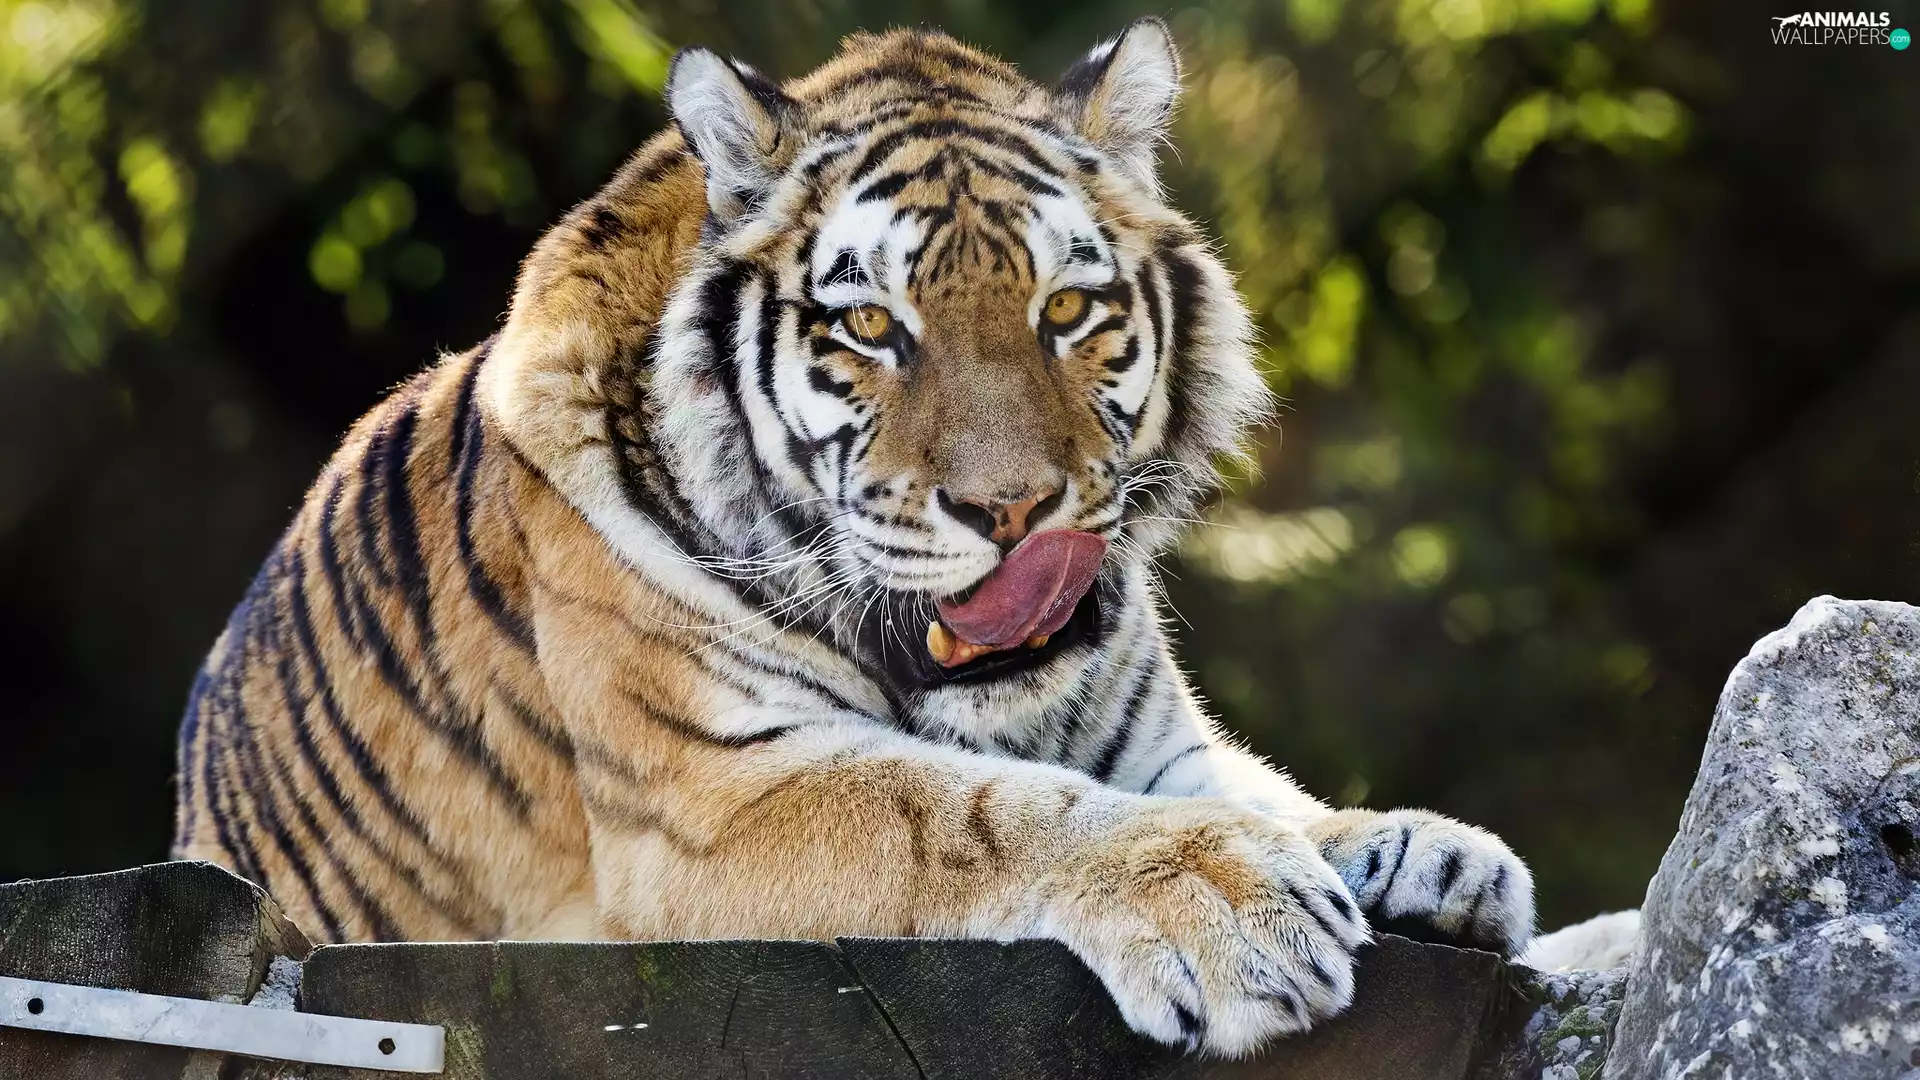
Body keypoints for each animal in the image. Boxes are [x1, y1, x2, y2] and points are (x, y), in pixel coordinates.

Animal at [173, 19, 1534, 1056]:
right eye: (872, 326)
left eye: (1069, 308)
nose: (1012, 511)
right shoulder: (710, 803)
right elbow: (969, 811)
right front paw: (1230, 898)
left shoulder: (1156, 740)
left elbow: (1268, 793)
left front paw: (1425, 853)